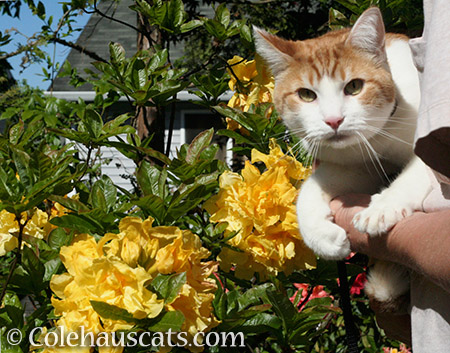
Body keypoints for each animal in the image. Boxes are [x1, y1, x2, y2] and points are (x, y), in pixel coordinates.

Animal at [253, 6, 432, 310]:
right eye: (306, 94)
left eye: (354, 87)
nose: (333, 120)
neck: (383, 136)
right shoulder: (357, 163)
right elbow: (310, 189)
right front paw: (321, 235)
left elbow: (418, 171)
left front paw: (382, 208)